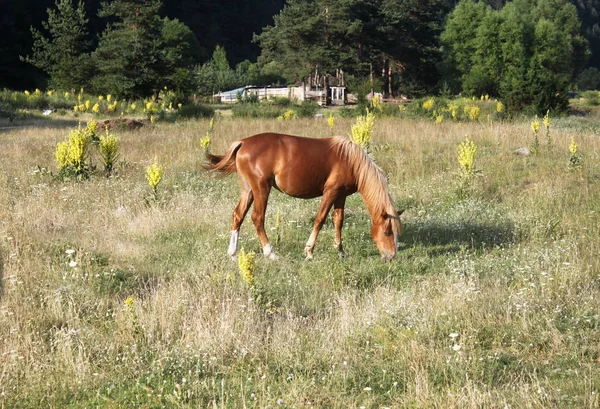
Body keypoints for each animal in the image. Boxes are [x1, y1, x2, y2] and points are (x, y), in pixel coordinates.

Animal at [205, 134, 404, 262]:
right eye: (387, 231)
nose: (391, 256)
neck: (351, 161)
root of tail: (243, 143)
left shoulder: (341, 195)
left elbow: (338, 221)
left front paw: (341, 252)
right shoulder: (331, 192)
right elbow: (320, 219)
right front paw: (309, 251)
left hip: (249, 190)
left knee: (238, 215)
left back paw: (232, 252)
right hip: (261, 189)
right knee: (257, 218)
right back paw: (270, 253)